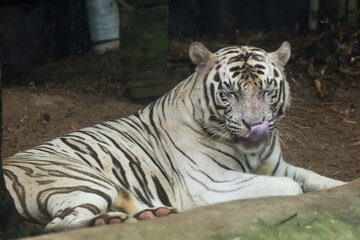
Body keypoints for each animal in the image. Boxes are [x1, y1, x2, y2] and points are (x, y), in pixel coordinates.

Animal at [3, 41, 346, 232]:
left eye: (266, 90)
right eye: (230, 93)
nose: (255, 125)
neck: (251, 152)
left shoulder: (275, 166)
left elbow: (313, 177)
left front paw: (342, 188)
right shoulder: (213, 183)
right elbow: (291, 187)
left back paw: (151, 215)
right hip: (86, 181)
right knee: (57, 225)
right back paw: (109, 223)